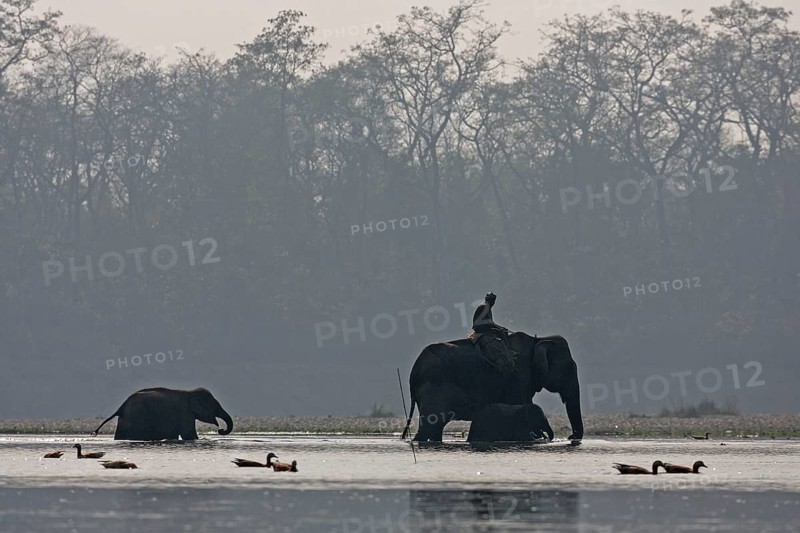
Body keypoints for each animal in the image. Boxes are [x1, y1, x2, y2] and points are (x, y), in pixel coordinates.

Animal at [90, 387, 233, 440]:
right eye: (214, 406)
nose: (220, 429)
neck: (190, 393)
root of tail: (121, 406)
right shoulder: (185, 413)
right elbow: (189, 434)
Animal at [401, 333, 583, 442]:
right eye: (569, 367)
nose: (571, 436)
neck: (538, 340)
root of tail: (413, 373)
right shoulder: (519, 376)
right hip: (435, 389)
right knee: (430, 426)